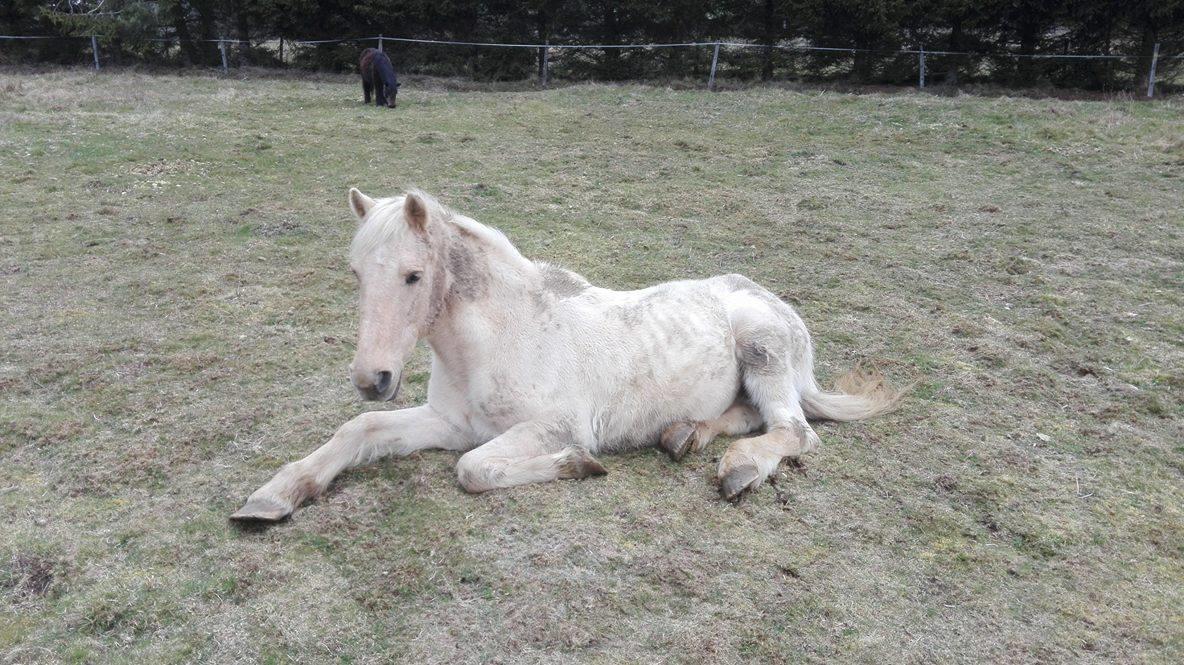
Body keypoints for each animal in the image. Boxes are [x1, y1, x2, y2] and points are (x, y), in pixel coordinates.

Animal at [228, 189, 895, 520]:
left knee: (795, 430)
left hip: (763, 351)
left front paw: (579, 466)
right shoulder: (449, 422)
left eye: (414, 276)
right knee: (747, 416)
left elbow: (472, 470)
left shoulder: (554, 424)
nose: (374, 377)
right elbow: (362, 429)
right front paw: (275, 495)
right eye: (355, 273)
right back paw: (685, 436)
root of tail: (777, 305)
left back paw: (740, 470)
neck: (499, 341)